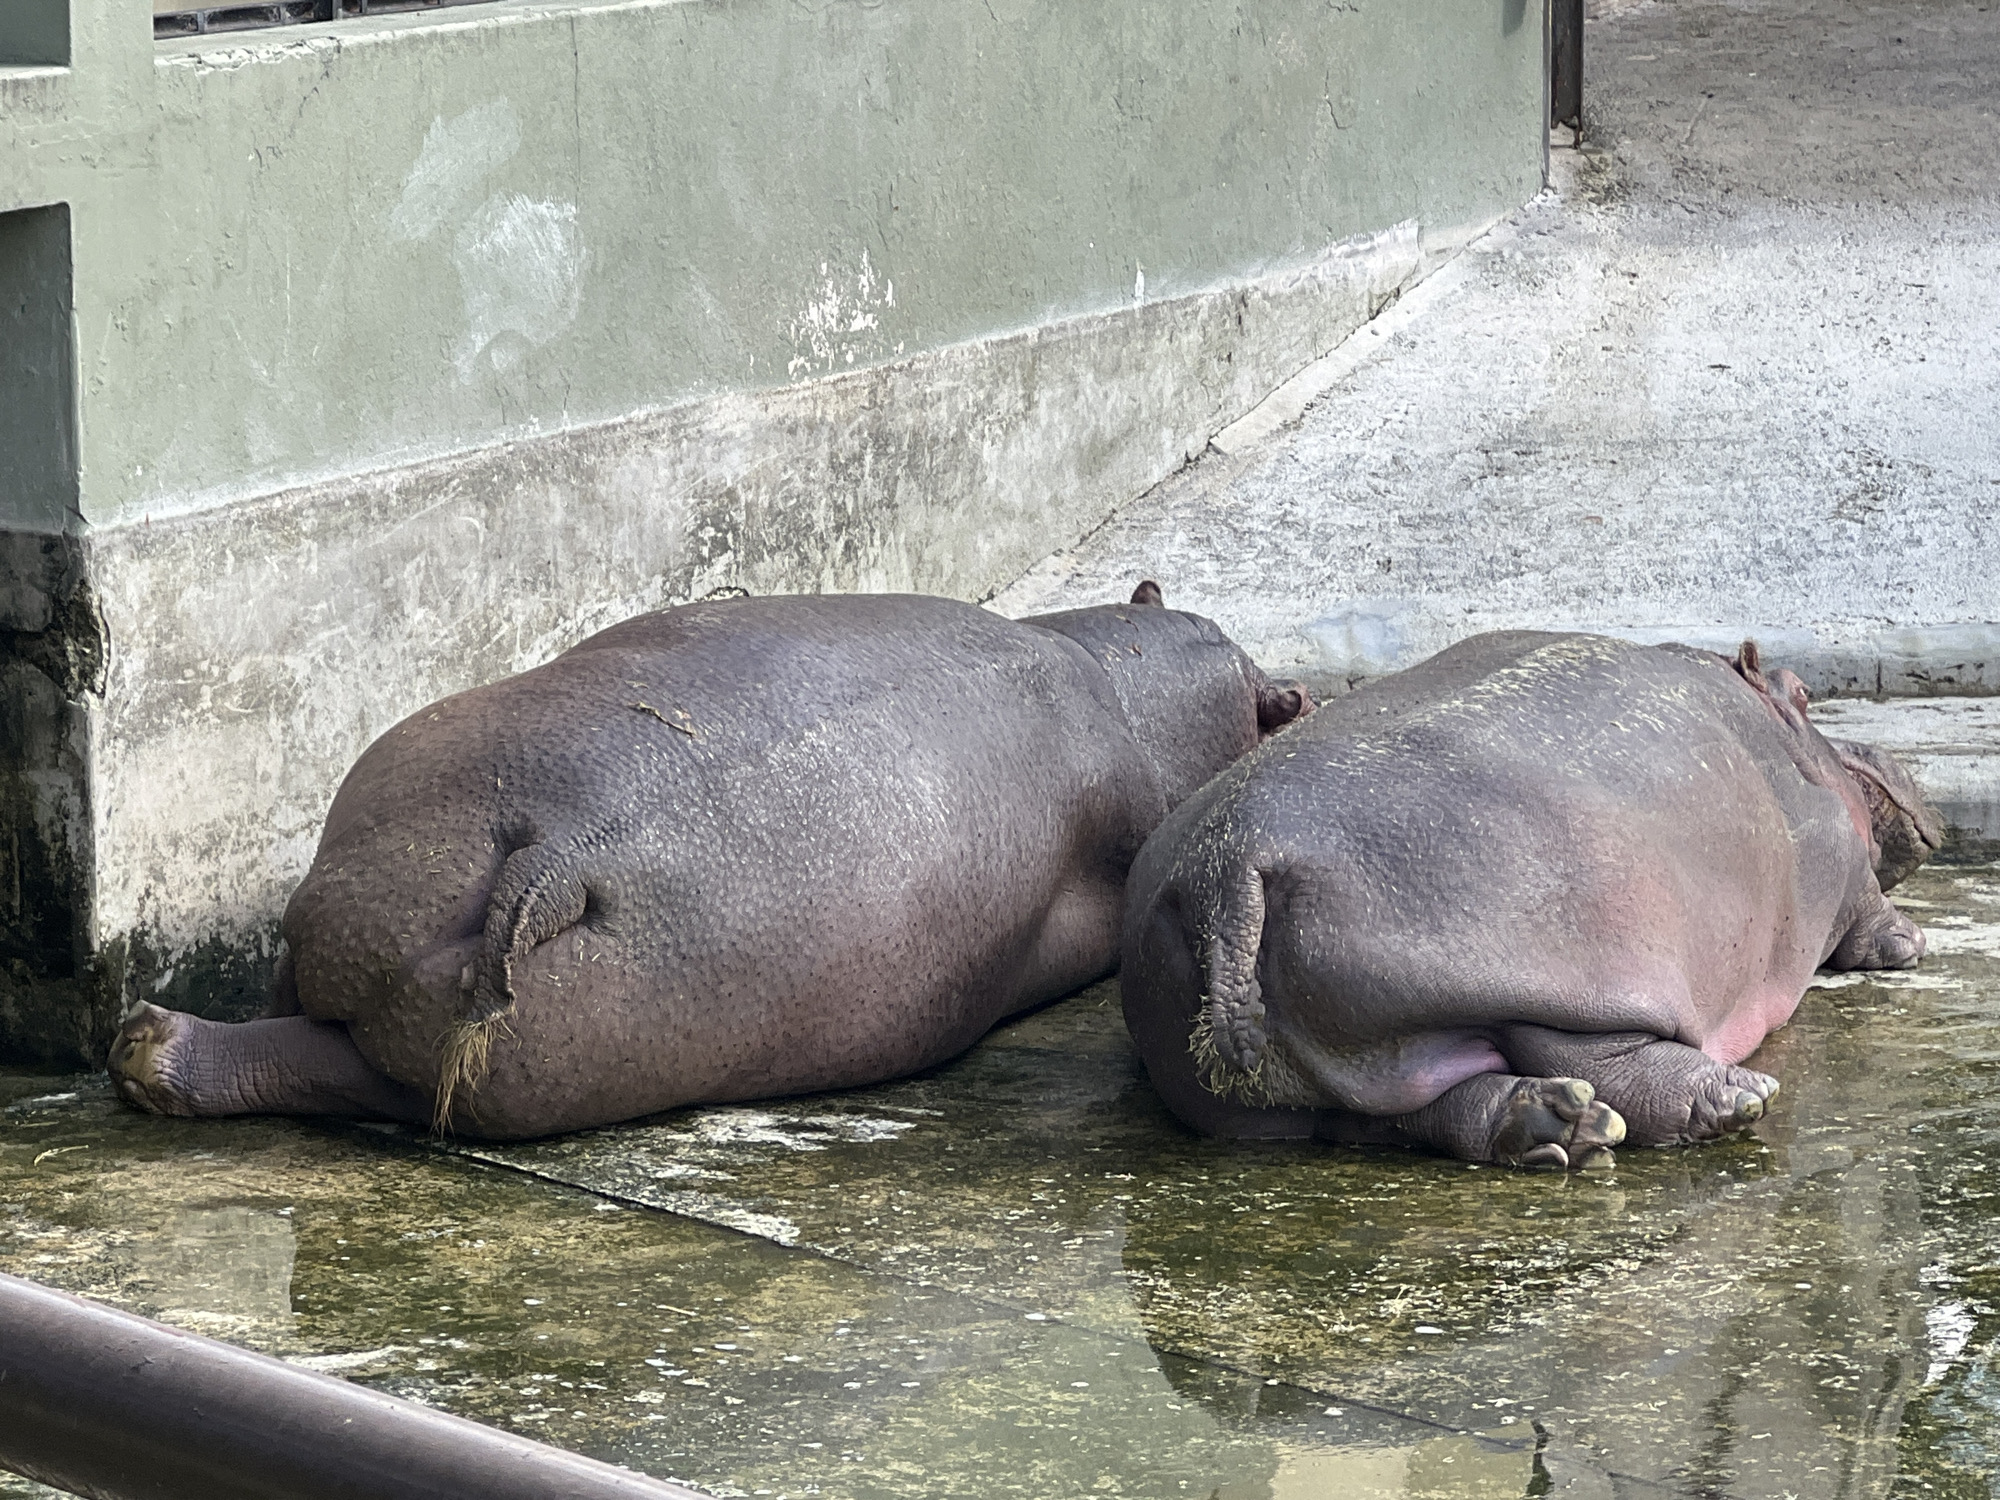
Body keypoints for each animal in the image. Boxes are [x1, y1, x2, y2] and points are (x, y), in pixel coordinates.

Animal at [109, 587, 1311, 1139]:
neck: (1123, 673)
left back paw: (145, 1047)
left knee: (314, 1047)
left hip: (387, 864)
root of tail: (559, 857)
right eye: (1271, 700)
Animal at [1121, 631, 1941, 1167]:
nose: (1883, 754)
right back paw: (1730, 1098)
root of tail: (1236, 859)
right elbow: (1865, 898)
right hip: (1563, 970)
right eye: (1803, 692)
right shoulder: (1834, 847)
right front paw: (1906, 945)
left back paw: (1553, 1125)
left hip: (1257, 1095)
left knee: (1396, 1117)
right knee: (1589, 1051)